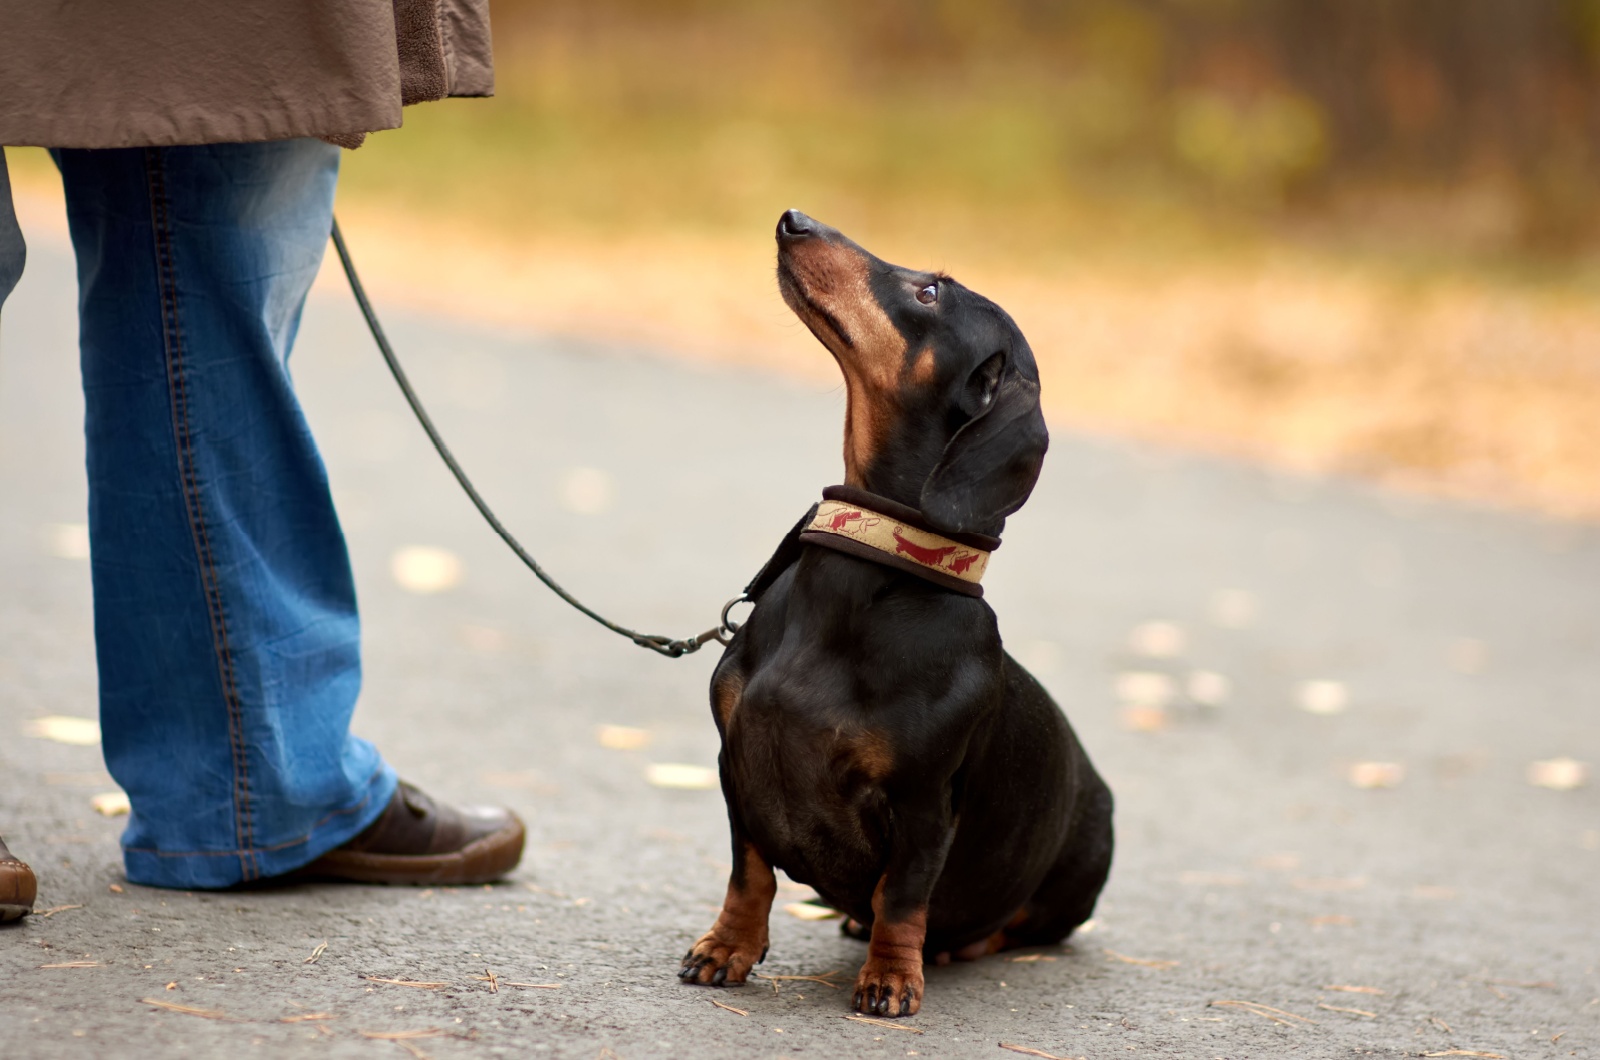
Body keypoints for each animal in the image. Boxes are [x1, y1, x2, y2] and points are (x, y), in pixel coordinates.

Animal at [675, 209, 1113, 1024]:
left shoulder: (922, 805)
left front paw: (890, 977)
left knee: (1012, 924)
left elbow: (903, 897)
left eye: (931, 291)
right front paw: (727, 948)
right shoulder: (733, 765)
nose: (792, 219)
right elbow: (750, 873)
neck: (871, 567)